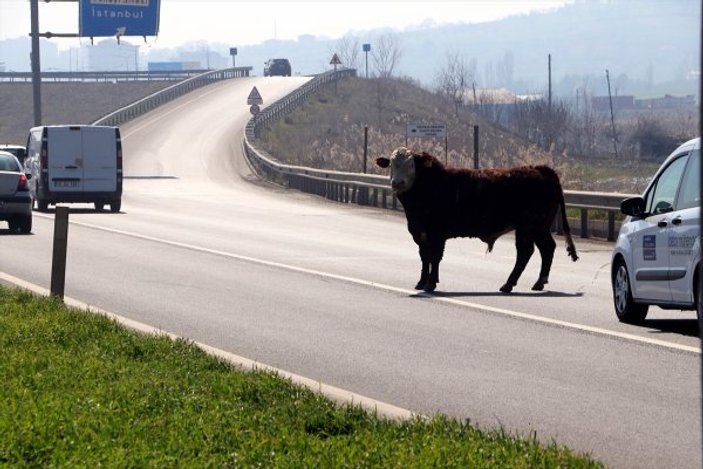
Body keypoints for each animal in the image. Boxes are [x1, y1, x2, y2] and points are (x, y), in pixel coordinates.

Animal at [376, 147, 580, 292]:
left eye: (411, 165)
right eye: (392, 165)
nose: (397, 183)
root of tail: (540, 169)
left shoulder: (436, 233)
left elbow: (435, 257)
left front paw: (431, 283)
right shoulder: (419, 232)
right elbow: (424, 257)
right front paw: (421, 282)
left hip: (528, 227)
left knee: (525, 252)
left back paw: (508, 284)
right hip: (540, 227)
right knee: (547, 248)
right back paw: (539, 282)